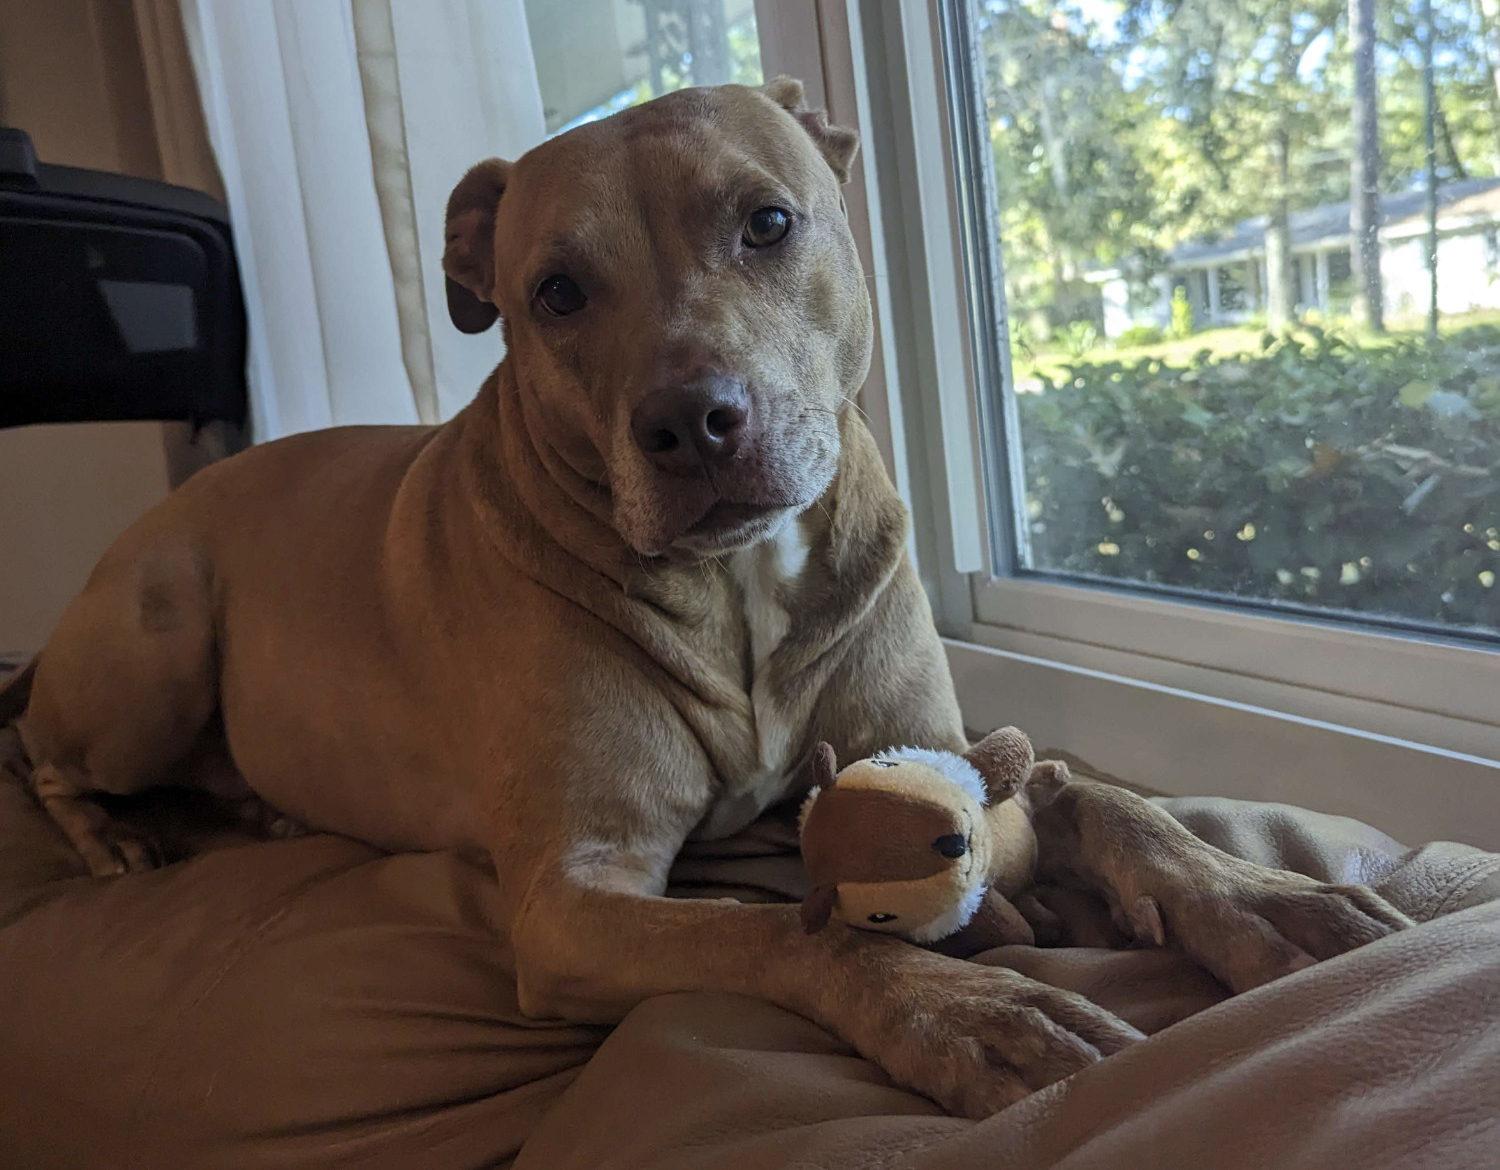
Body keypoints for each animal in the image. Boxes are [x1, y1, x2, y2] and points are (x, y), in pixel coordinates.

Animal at [8, 77, 1404, 1122]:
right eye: (554, 293)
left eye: (769, 223)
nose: (690, 421)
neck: (741, 583)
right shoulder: (573, 901)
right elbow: (781, 931)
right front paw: (968, 1011)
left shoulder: (941, 753)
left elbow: (1097, 796)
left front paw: (1266, 899)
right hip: (152, 646)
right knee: (39, 752)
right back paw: (115, 836)